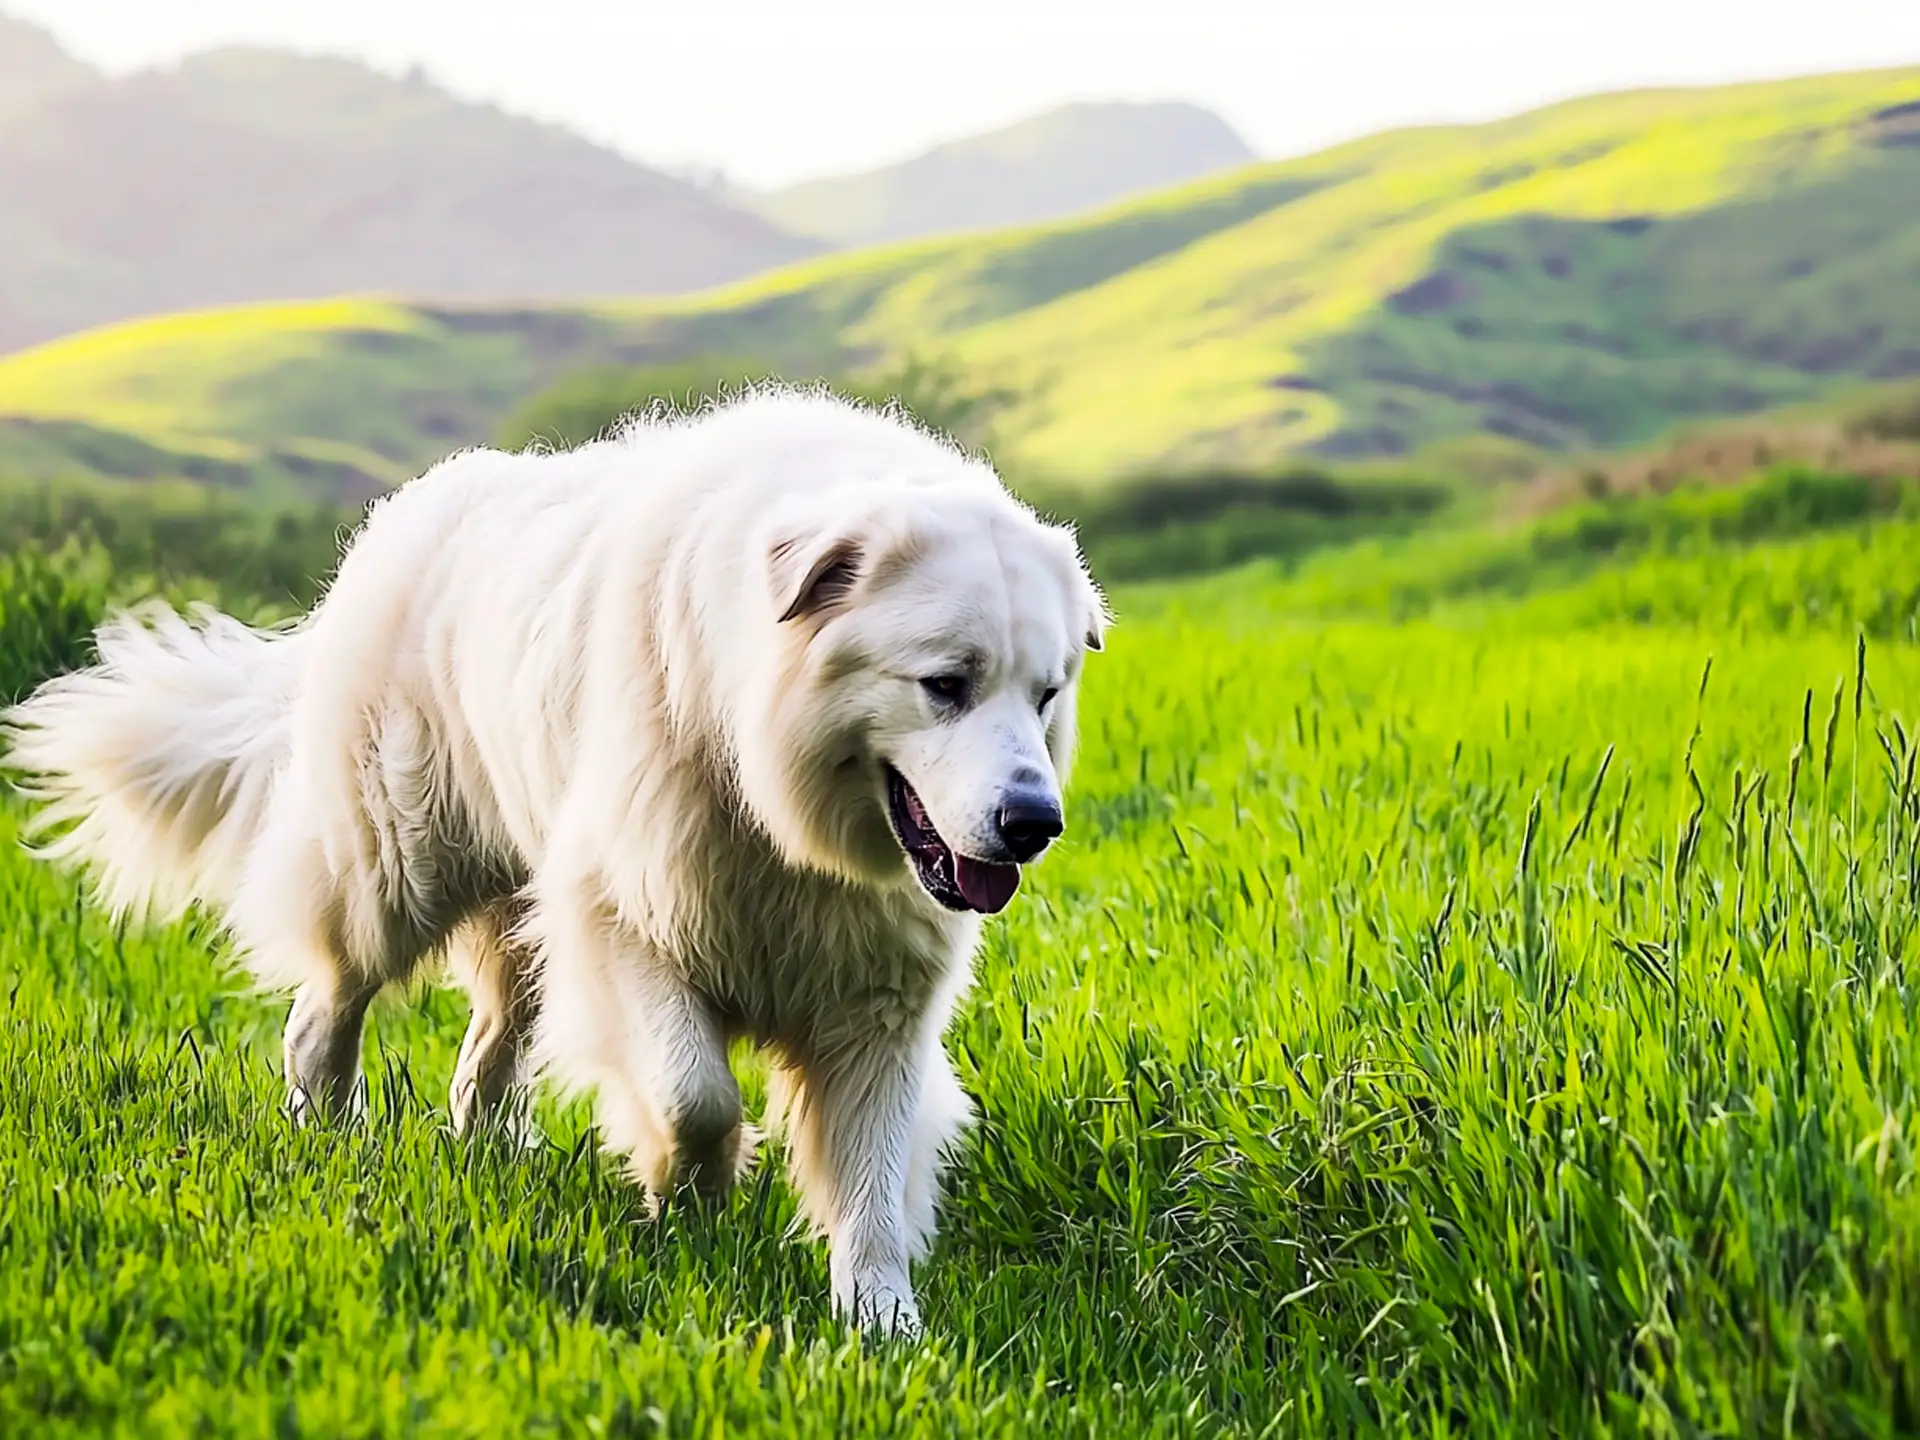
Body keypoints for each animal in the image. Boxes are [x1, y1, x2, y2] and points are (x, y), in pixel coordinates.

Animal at [3, 389, 1113, 1336]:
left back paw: (489, 1154)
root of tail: (397, 523)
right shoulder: (626, 919)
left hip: (519, 923)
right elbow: (695, 1097)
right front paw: (693, 1200)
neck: (775, 797)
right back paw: (327, 1133)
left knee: (486, 1053)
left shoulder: (876, 1002)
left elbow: (871, 1179)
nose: (1033, 822)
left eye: (1046, 693)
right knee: (329, 1004)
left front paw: (883, 1327)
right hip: (394, 870)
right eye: (945, 685)